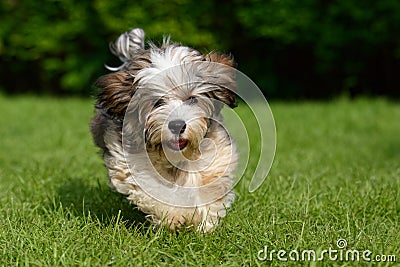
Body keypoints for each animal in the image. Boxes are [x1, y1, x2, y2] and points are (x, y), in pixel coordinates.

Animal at [90, 28, 238, 232]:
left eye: (192, 99)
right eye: (157, 102)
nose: (177, 125)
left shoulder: (216, 151)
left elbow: (206, 182)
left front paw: (203, 222)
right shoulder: (129, 159)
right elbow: (152, 187)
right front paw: (173, 217)